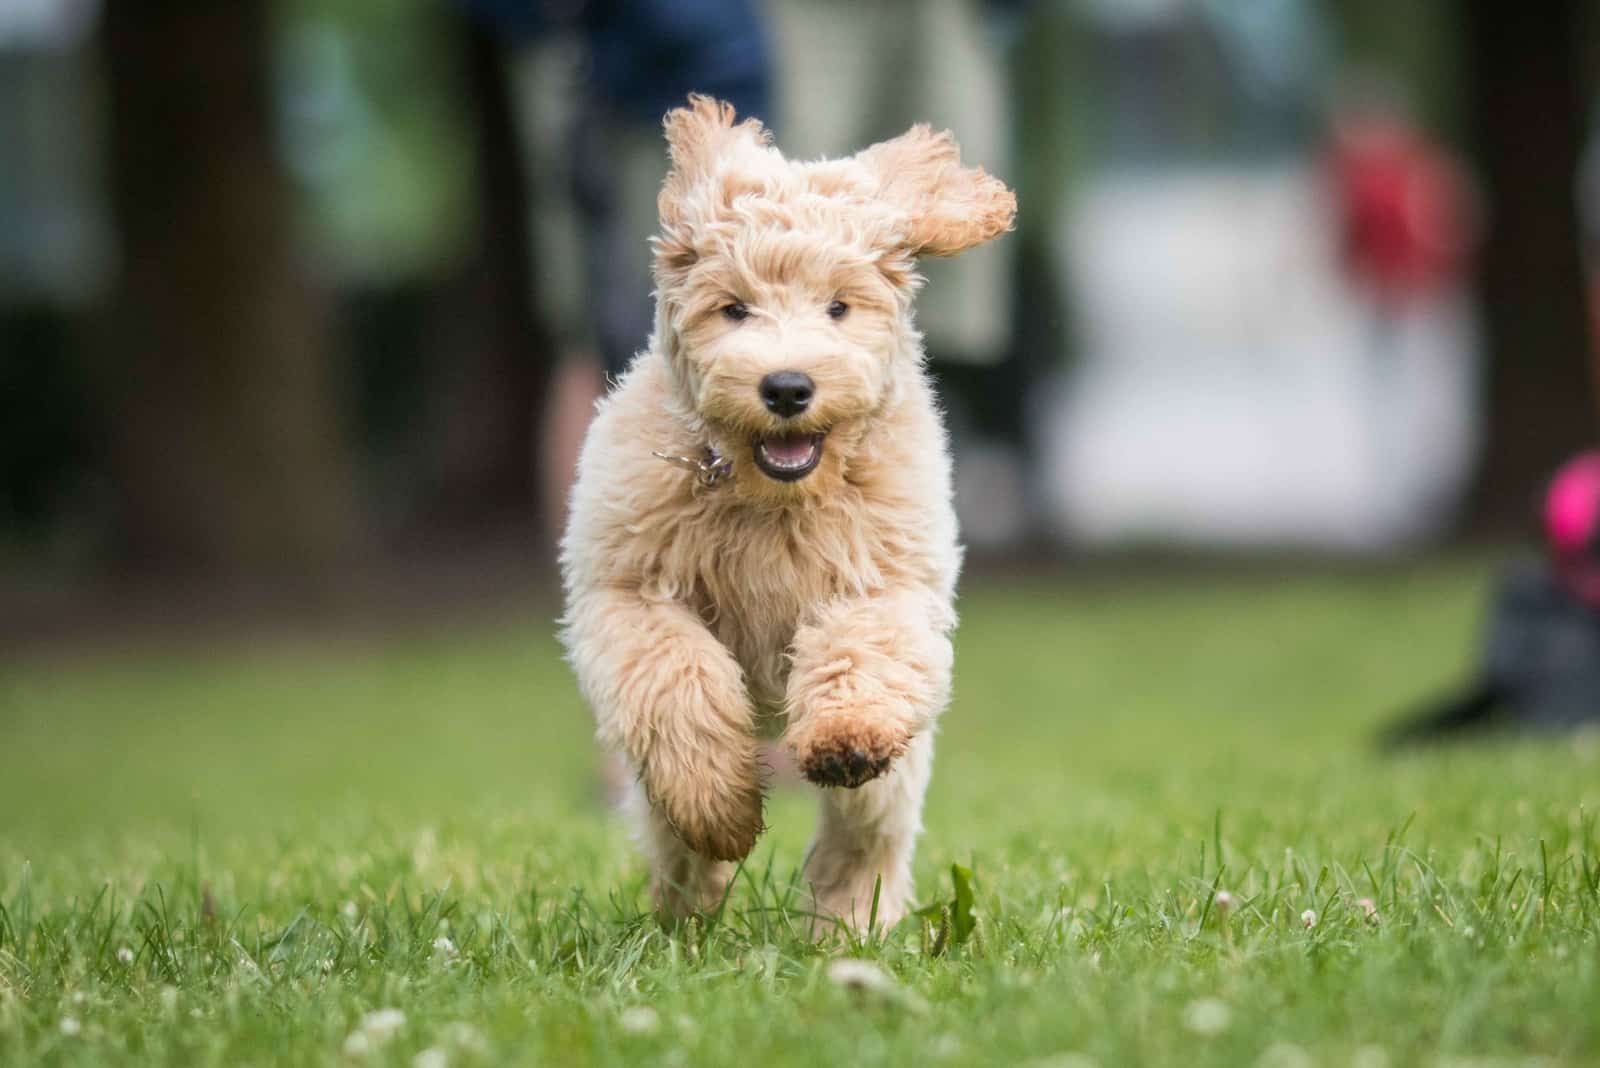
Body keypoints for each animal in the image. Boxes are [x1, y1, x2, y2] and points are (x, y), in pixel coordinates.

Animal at [563, 95, 1011, 927]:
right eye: (733, 308)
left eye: (839, 306)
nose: (787, 387)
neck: (771, 496)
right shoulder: (629, 594)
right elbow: (678, 681)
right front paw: (717, 805)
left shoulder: (887, 582)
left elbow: (862, 649)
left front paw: (846, 734)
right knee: (671, 832)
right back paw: (688, 902)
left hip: (894, 777)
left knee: (865, 836)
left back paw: (848, 923)